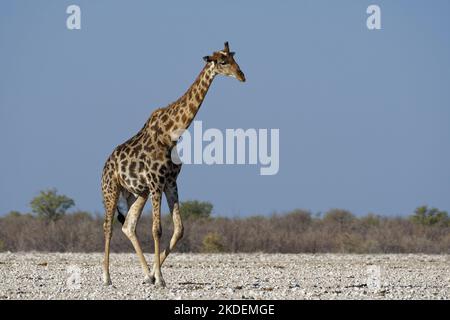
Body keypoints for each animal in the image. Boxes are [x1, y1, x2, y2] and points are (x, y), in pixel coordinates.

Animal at [101, 41, 244, 286]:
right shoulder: (156, 182)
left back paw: (144, 274)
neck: (171, 135)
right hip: (111, 190)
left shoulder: (170, 182)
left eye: (235, 59)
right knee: (108, 226)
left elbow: (179, 229)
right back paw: (106, 277)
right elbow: (157, 229)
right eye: (222, 61)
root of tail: (105, 166)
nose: (242, 75)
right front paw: (159, 278)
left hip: (136, 193)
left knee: (128, 225)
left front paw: (153, 275)